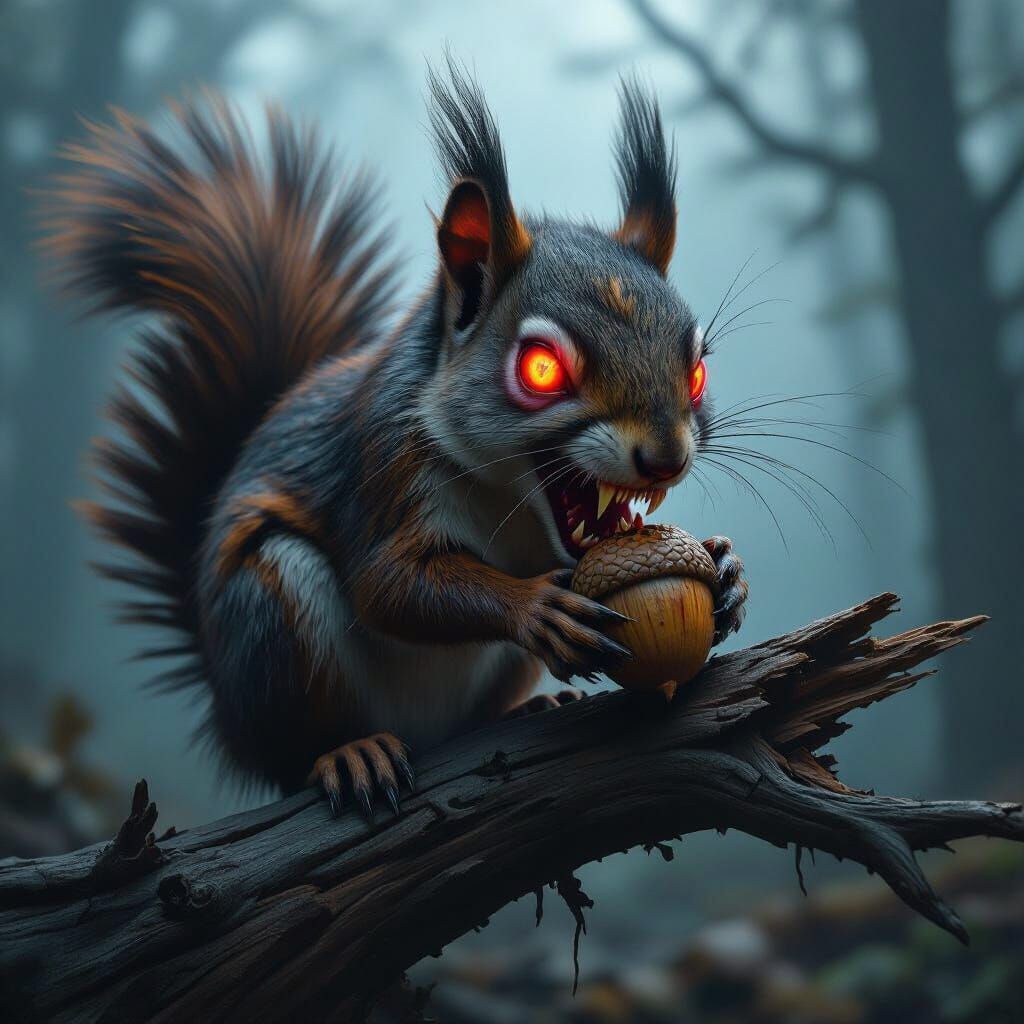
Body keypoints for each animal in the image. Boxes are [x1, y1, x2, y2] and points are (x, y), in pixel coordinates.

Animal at [45, 64, 748, 815]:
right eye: (541, 369)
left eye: (698, 370)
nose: (665, 459)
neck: (508, 498)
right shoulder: (385, 468)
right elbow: (388, 583)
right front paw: (535, 607)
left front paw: (725, 568)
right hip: (270, 617)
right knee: (293, 751)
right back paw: (347, 752)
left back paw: (525, 709)